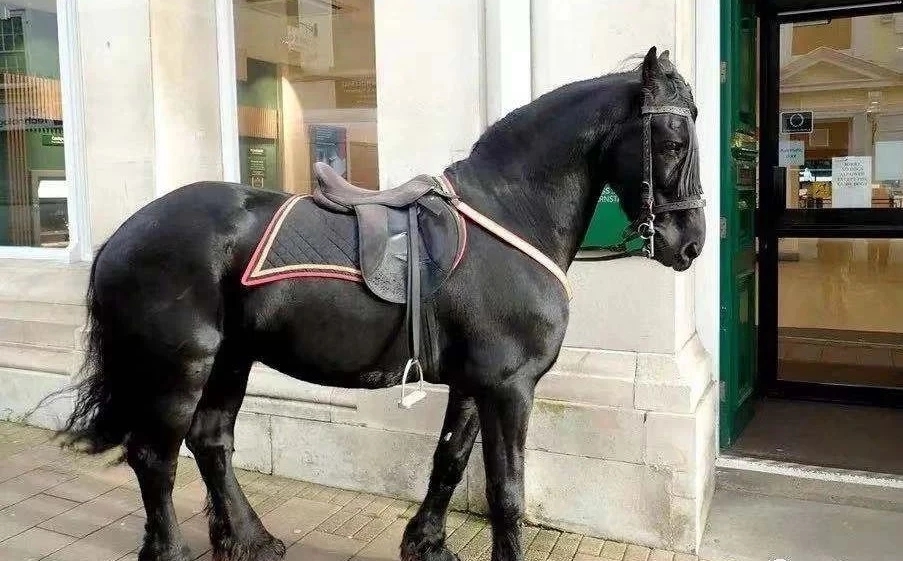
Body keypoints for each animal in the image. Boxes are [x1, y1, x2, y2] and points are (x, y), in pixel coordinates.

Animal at [57, 46, 705, 561]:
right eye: (674, 142)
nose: (692, 242)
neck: (509, 214)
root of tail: (121, 236)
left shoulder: (474, 383)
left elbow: (450, 461)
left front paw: (426, 543)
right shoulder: (509, 387)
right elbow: (506, 494)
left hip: (230, 359)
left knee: (211, 441)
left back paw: (250, 539)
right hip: (179, 367)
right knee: (155, 458)